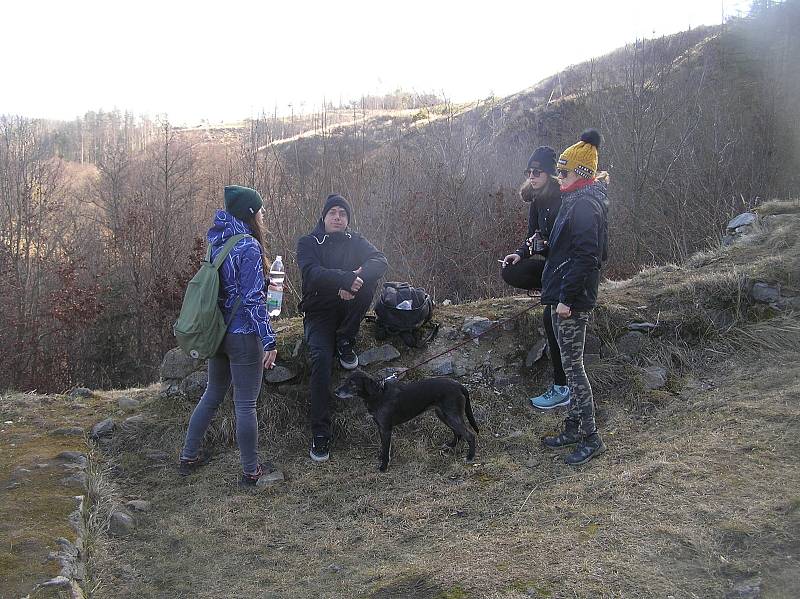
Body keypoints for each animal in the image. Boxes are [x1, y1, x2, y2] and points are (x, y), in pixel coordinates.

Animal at [334, 370, 478, 474]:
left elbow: (386, 448)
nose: (335, 391)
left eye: (352, 383)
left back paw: (470, 456)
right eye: (345, 380)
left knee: (470, 435)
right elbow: (383, 447)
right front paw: (381, 458)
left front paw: (384, 466)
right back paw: (451, 445)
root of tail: (459, 385)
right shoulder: (380, 427)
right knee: (458, 432)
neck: (378, 394)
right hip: (444, 414)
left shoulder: (386, 428)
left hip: (451, 415)